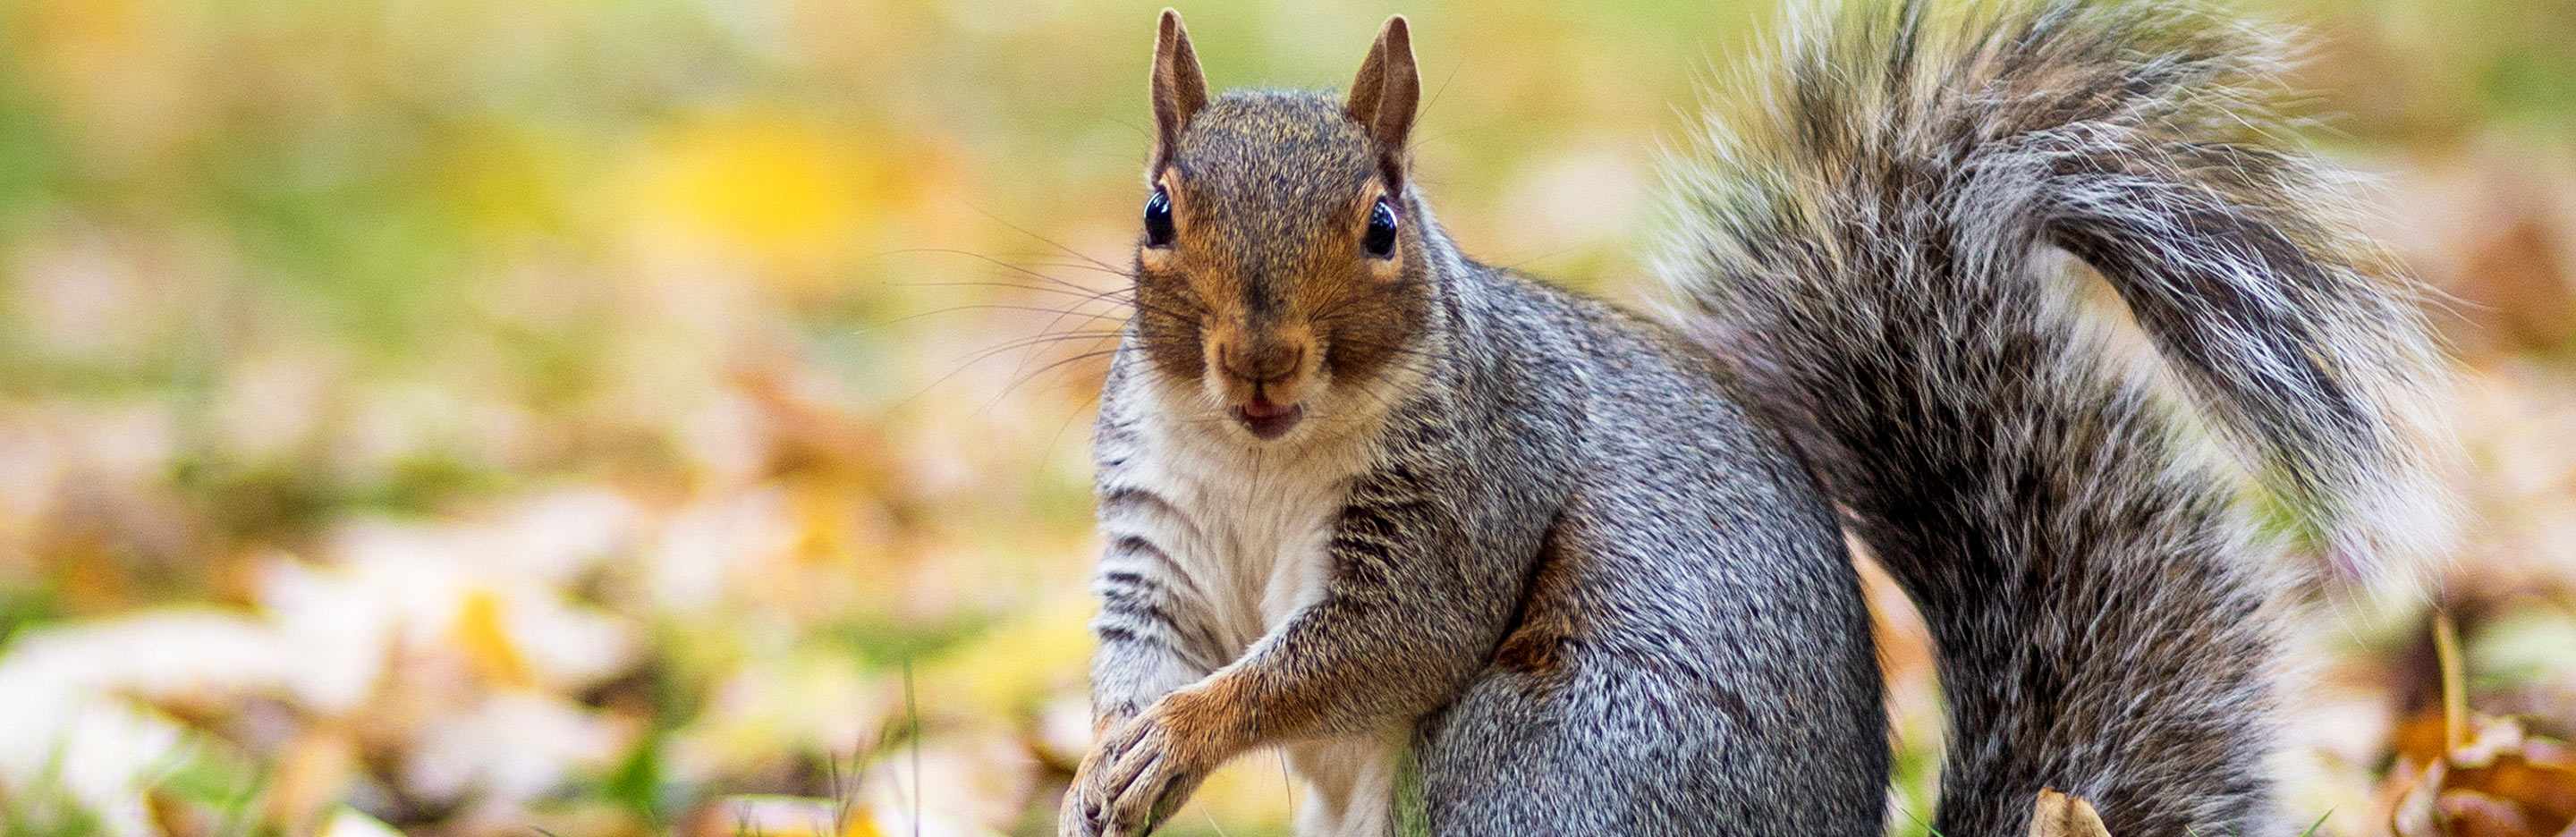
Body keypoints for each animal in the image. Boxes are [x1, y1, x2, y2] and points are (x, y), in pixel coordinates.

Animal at [1062, 1, 2455, 836]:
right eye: (1157, 213)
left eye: (1384, 226)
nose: (1259, 365)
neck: (1266, 458)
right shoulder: (1159, 531)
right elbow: (1151, 648)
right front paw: (1110, 766)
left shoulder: (1471, 493)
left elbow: (1376, 645)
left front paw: (1184, 735)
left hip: (1540, 763)